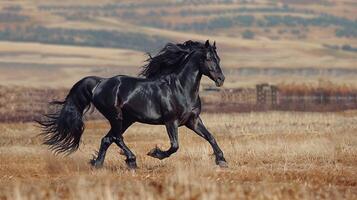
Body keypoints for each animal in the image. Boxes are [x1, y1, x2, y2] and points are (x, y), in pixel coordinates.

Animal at [37, 40, 227, 169]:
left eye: (218, 58)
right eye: (208, 58)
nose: (221, 79)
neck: (181, 88)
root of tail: (100, 83)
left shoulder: (192, 120)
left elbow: (210, 137)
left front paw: (222, 160)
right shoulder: (170, 122)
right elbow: (174, 146)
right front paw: (155, 153)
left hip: (128, 119)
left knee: (108, 139)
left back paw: (98, 164)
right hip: (116, 116)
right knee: (116, 138)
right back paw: (131, 161)